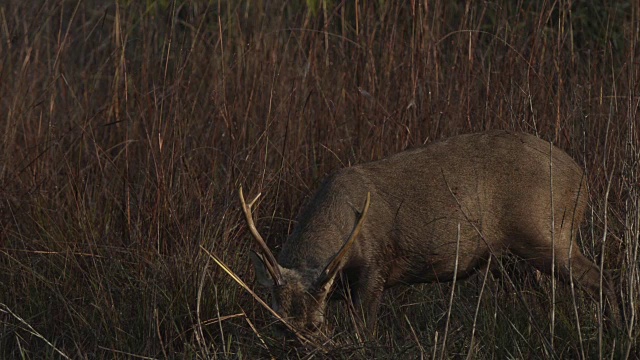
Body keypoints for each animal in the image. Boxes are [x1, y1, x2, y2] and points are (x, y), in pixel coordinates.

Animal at [240, 131, 620, 338]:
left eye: (314, 327)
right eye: (278, 325)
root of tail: (582, 178)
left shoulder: (375, 267)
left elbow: (365, 329)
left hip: (546, 232)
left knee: (599, 277)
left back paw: (613, 328)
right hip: (511, 255)